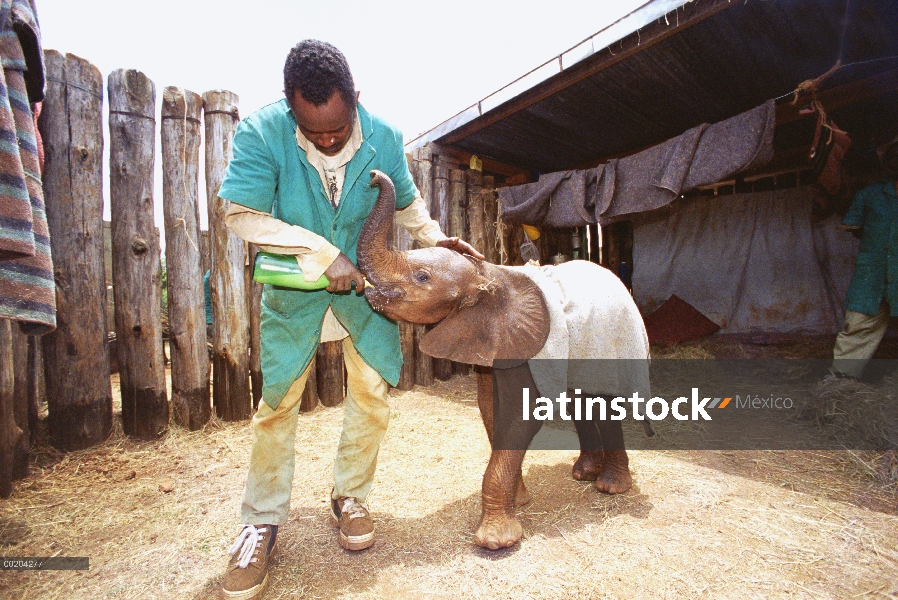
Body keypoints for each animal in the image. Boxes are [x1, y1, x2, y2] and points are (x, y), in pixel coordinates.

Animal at [356, 169, 652, 548]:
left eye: (422, 277)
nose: (373, 175)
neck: (489, 275)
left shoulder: (524, 343)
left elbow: (521, 417)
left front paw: (496, 541)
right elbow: (490, 410)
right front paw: (519, 501)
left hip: (616, 345)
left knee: (604, 402)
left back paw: (610, 487)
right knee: (581, 401)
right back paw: (584, 473)